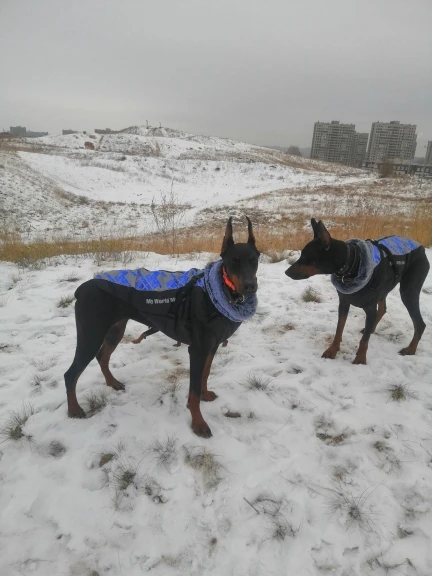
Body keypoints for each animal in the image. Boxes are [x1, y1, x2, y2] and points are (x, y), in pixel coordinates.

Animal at [64, 217, 259, 437]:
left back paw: (112, 383)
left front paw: (205, 394)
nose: (250, 286)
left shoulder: (212, 346)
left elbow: (205, 374)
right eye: (234, 261)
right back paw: (74, 410)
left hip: (115, 329)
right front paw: (198, 423)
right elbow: (192, 392)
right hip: (91, 334)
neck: (217, 292)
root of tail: (82, 288)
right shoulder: (197, 350)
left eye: (254, 260)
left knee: (102, 357)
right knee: (71, 373)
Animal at [285, 219, 429, 364]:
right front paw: (332, 350)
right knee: (382, 309)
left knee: (419, 324)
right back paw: (370, 329)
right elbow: (339, 329)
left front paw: (360, 358)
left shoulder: (370, 308)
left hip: (408, 291)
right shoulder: (344, 303)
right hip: (385, 288)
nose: (286, 272)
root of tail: (421, 247)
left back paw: (410, 349)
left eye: (306, 257)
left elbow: (364, 340)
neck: (352, 263)